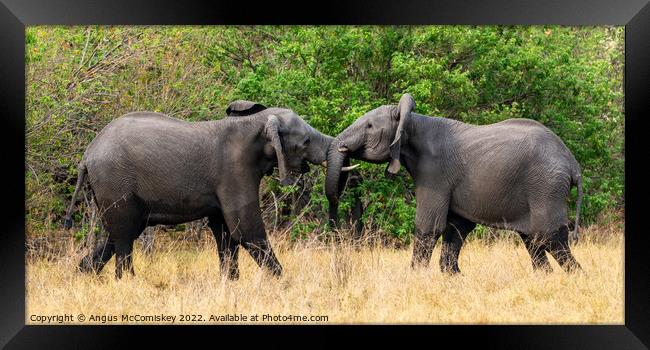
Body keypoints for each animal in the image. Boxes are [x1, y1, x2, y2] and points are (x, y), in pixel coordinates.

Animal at [64, 100, 354, 280]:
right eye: (305, 141)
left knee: (118, 234)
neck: (256, 122)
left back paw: (81, 275)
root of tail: (87, 154)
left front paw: (231, 284)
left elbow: (225, 233)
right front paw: (284, 282)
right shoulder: (235, 170)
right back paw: (127, 283)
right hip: (114, 180)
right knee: (124, 235)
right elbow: (246, 230)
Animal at [324, 93, 584, 274]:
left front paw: (415, 277)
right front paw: (453, 276)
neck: (413, 123)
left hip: (546, 185)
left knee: (549, 236)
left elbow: (429, 226)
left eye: (369, 126)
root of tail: (573, 164)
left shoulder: (434, 173)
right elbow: (457, 228)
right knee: (533, 241)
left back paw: (577, 277)